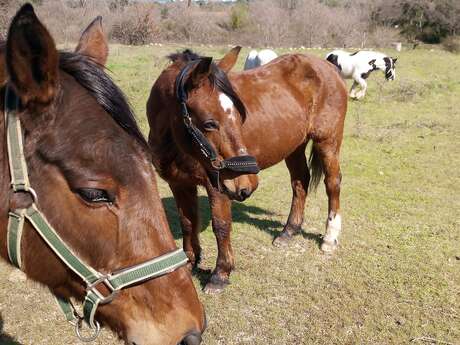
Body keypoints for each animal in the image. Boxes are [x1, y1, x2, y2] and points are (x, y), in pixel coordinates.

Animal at [149, 45, 346, 292]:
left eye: (239, 114)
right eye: (209, 123)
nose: (247, 184)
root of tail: (328, 67)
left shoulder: (218, 186)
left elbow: (221, 225)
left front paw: (220, 274)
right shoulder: (179, 183)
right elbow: (187, 221)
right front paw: (190, 261)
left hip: (328, 141)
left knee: (333, 184)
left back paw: (330, 238)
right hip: (294, 146)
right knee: (300, 182)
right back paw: (289, 231)